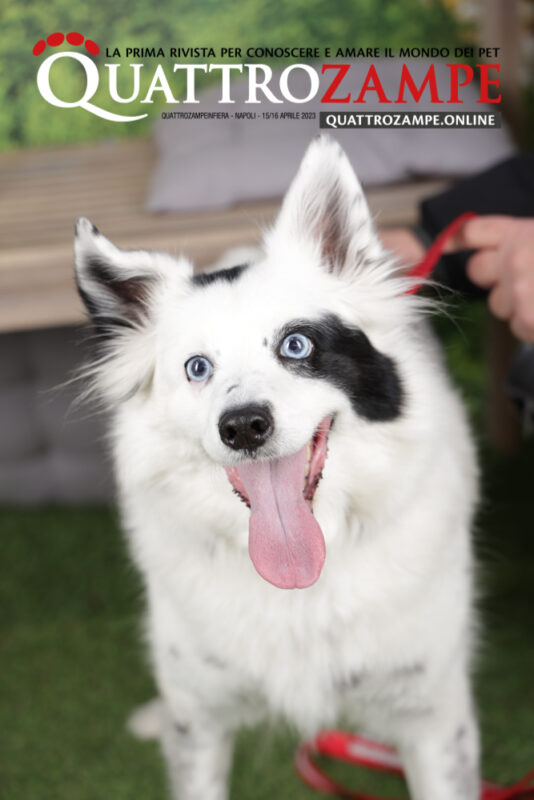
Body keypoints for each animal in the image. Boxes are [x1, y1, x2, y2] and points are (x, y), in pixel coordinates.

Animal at [73, 138, 480, 800]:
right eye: (197, 367)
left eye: (297, 345)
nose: (242, 426)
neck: (300, 590)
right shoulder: (200, 720)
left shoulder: (434, 718)